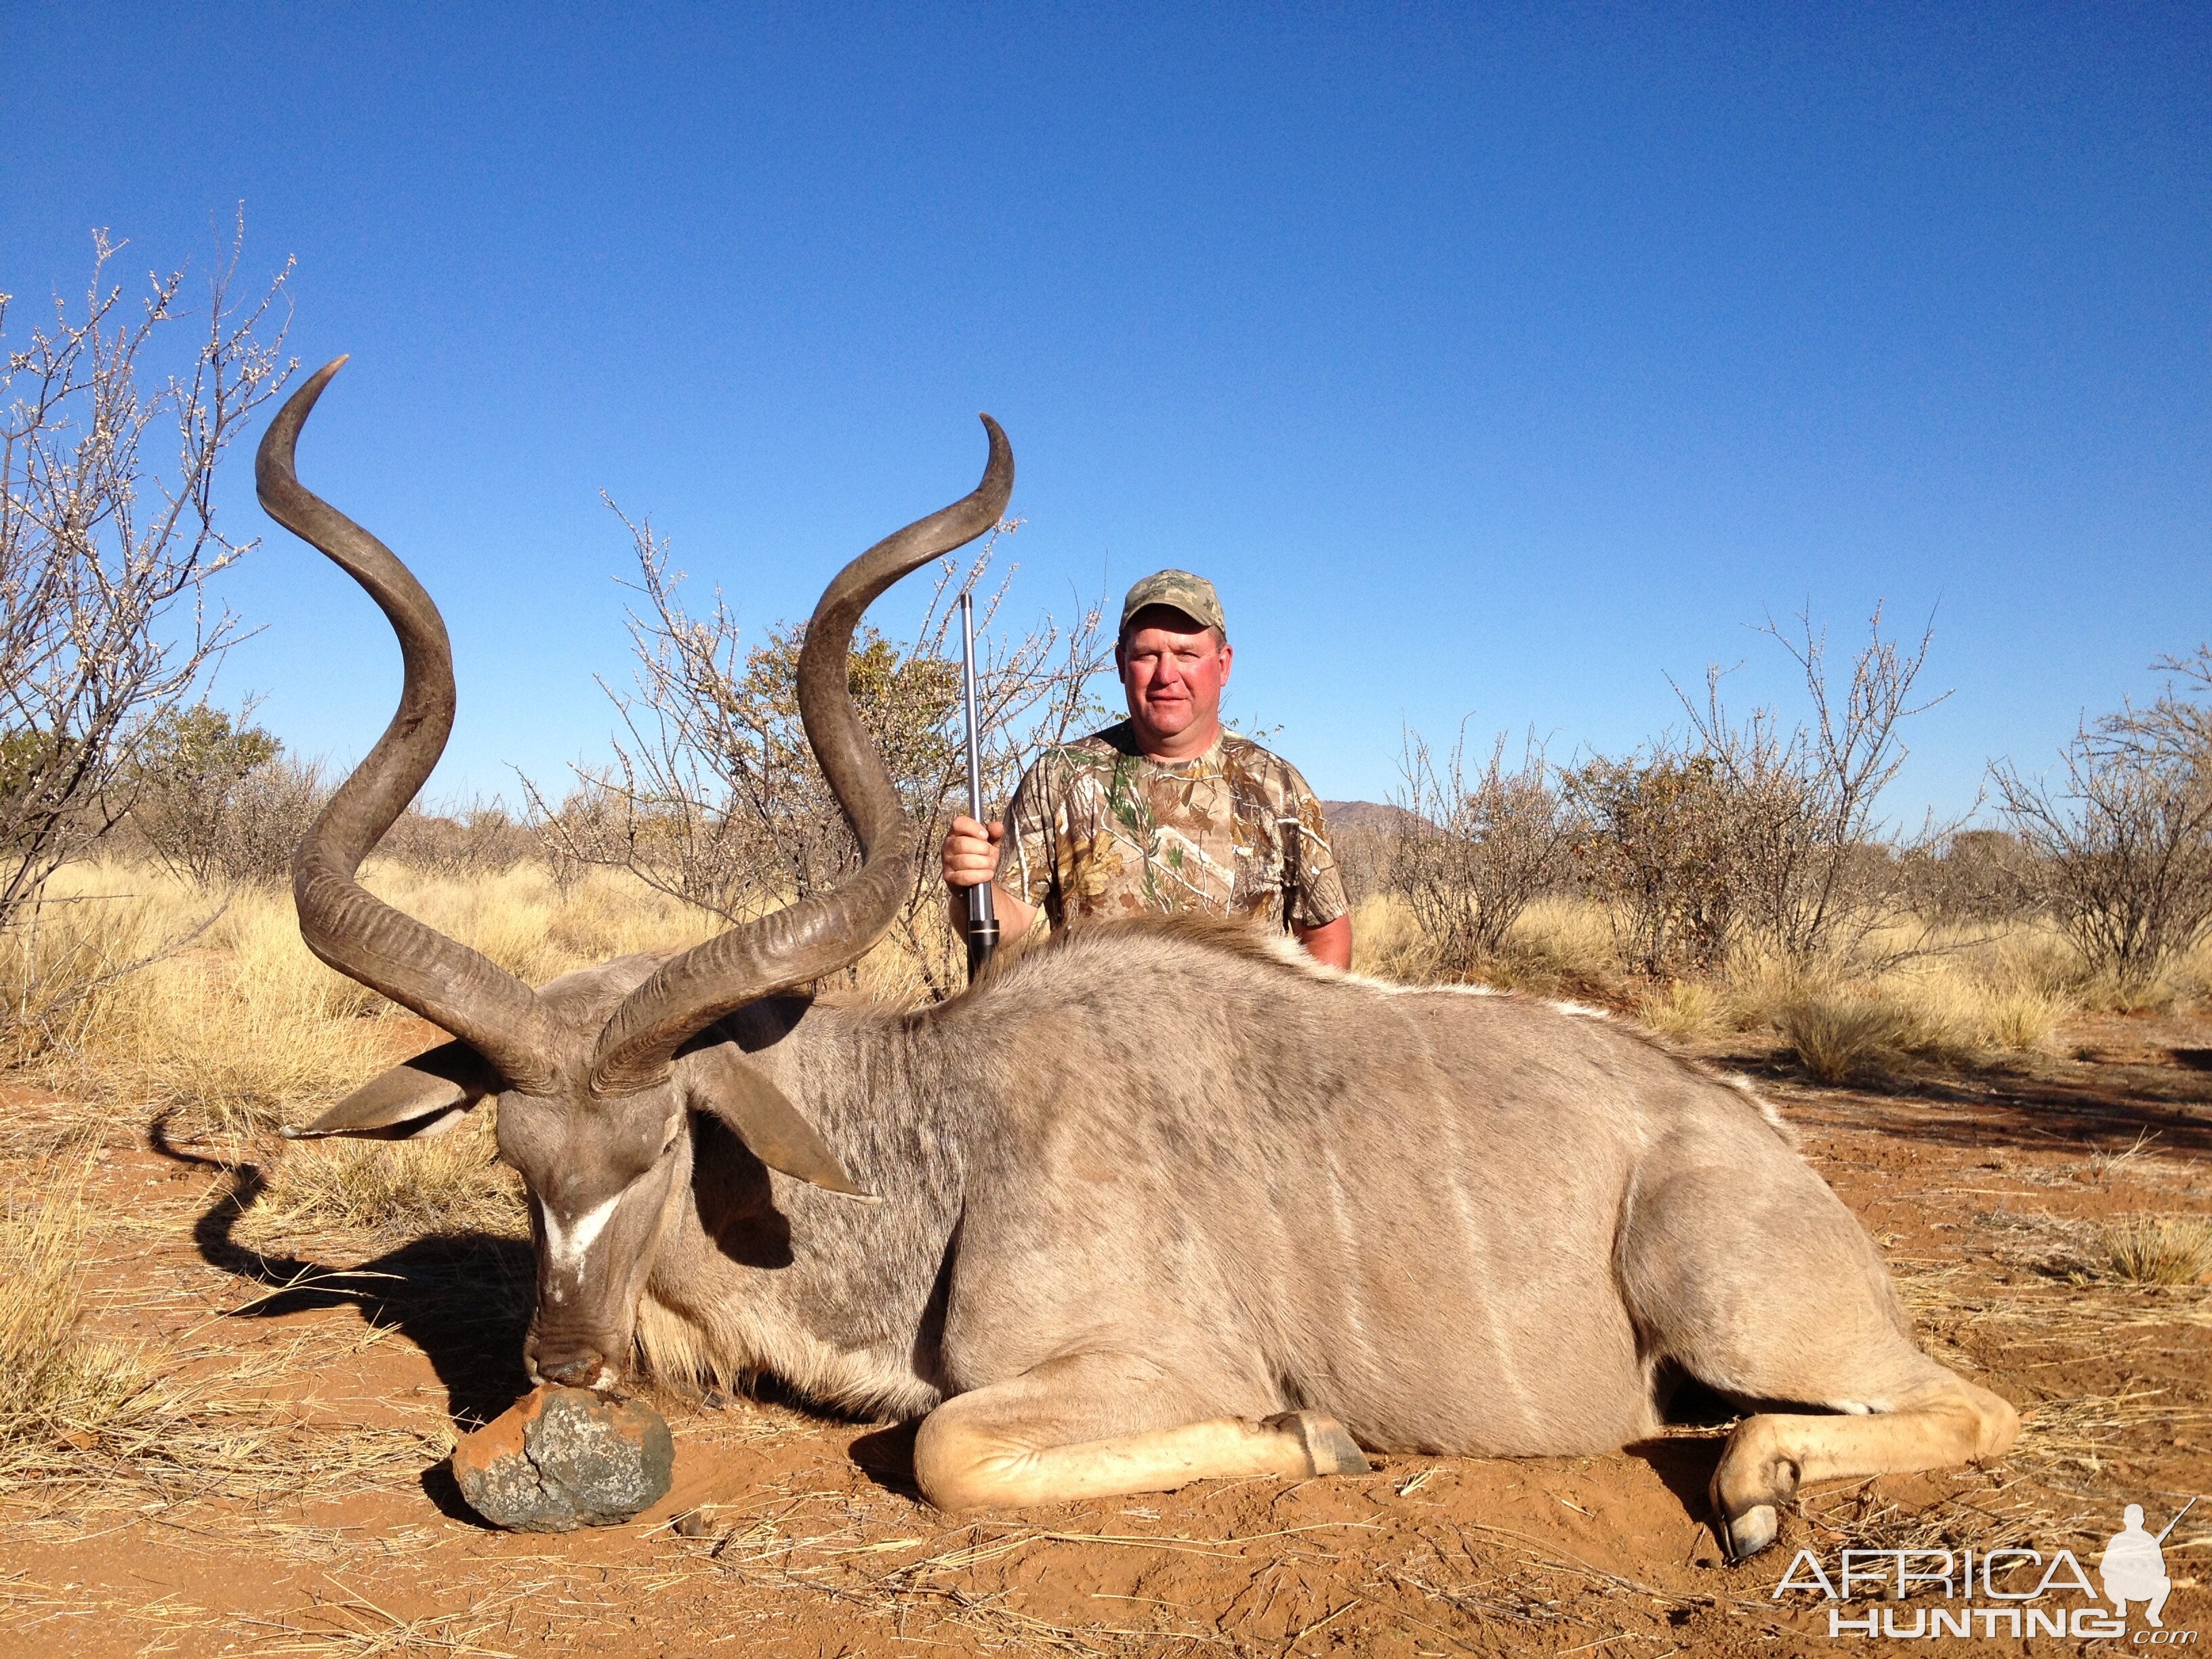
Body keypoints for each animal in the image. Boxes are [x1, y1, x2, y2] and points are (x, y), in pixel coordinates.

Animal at [263, 361, 2026, 1557]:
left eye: (662, 1145)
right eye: (515, 1155)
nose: (558, 1354)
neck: (937, 1134)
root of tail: (1768, 1147)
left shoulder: (1122, 1368)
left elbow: (950, 1449)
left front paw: (1314, 1437)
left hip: (1729, 1299)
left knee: (1963, 1401)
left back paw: (1753, 1485)